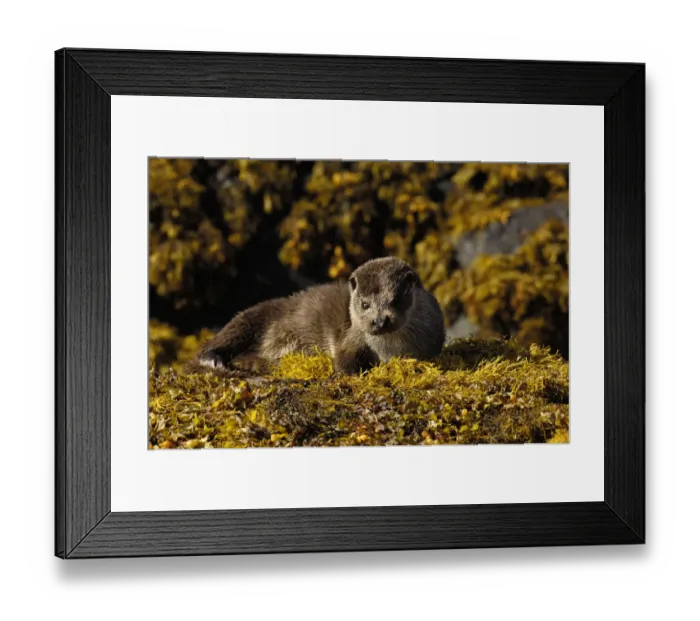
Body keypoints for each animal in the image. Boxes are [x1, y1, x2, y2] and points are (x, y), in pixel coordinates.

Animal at [195, 257, 445, 374]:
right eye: (364, 304)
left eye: (395, 300)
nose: (379, 321)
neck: (391, 349)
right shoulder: (351, 337)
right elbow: (344, 360)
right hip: (254, 316)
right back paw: (213, 359)